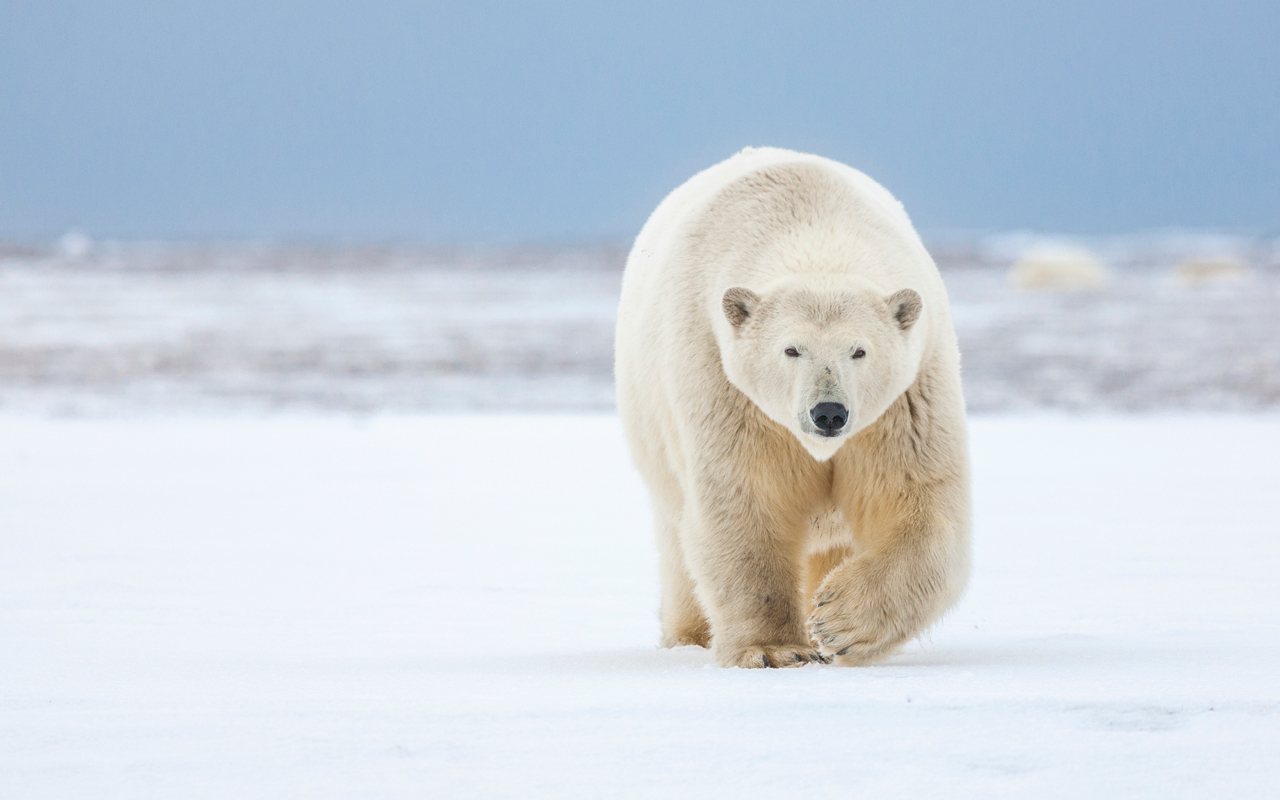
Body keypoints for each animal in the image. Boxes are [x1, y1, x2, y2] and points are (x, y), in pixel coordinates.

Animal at [611, 148, 967, 665]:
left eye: (859, 351)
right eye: (791, 349)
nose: (829, 412)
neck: (812, 226)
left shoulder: (908, 398)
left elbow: (916, 500)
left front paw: (836, 621)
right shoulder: (725, 385)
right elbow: (746, 502)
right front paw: (775, 648)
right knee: (678, 545)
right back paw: (689, 636)